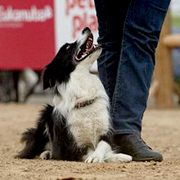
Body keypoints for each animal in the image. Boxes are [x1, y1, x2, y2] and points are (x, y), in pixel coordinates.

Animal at [17, 27, 132, 163]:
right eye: (67, 47)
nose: (86, 28)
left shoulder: (106, 132)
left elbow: (103, 145)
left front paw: (119, 155)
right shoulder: (73, 147)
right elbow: (90, 152)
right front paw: (98, 157)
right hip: (46, 115)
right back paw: (46, 153)